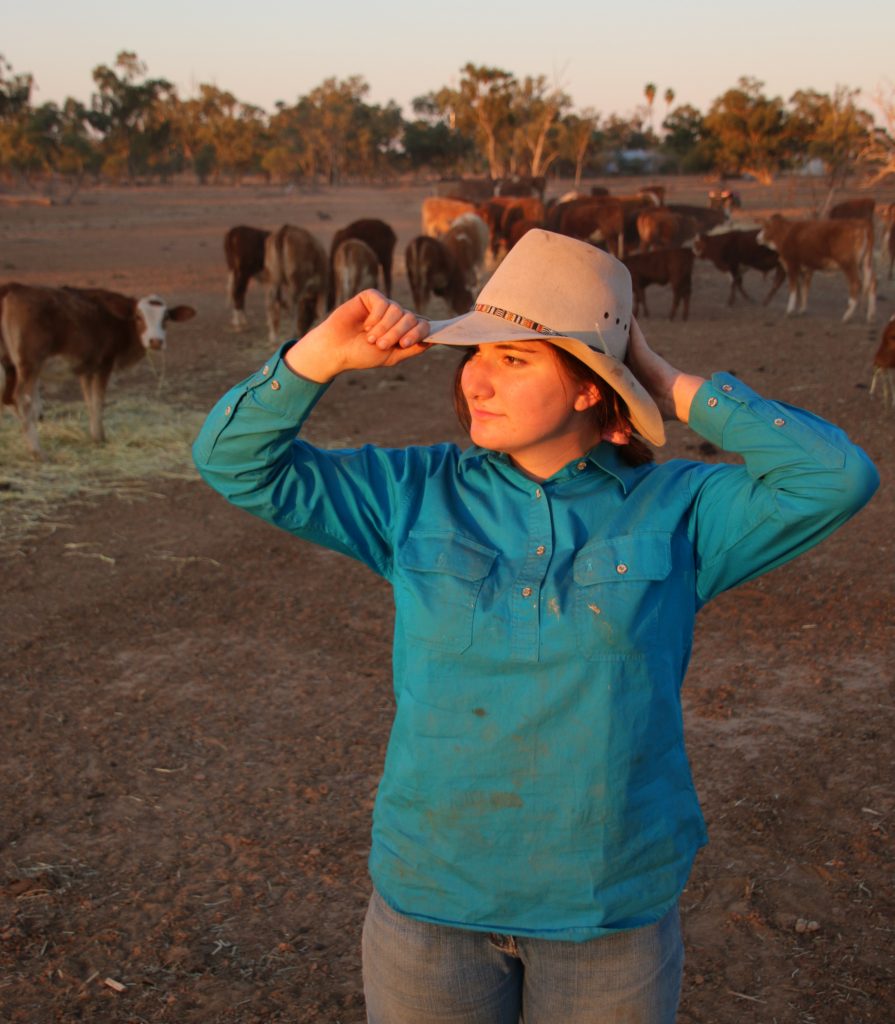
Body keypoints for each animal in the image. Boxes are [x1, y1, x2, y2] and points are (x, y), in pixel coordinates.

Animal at [0, 280, 195, 456]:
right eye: (139, 317)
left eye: (166, 318)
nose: (155, 341)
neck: (118, 321)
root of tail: (12, 288)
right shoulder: (103, 365)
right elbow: (98, 401)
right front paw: (100, 438)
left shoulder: (86, 370)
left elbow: (90, 401)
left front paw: (94, 436)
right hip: (29, 366)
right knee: (22, 400)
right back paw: (37, 451)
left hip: (11, 367)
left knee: (9, 399)